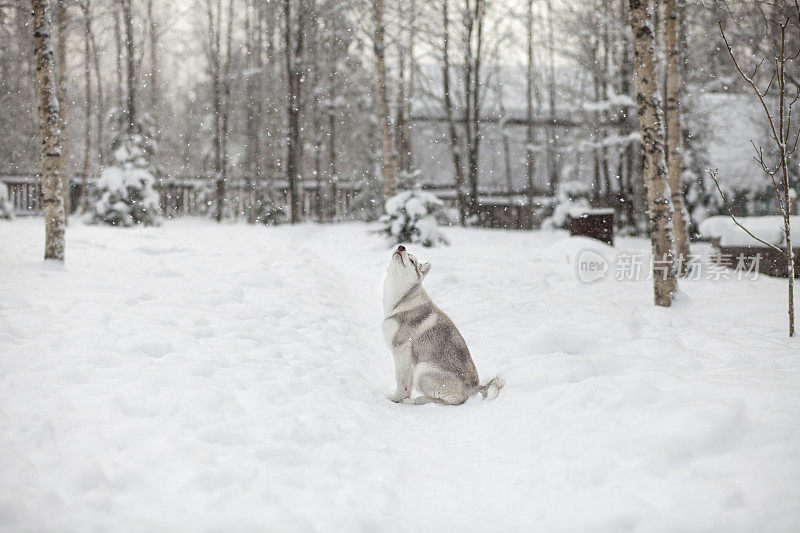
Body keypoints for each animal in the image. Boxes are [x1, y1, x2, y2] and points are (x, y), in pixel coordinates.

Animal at [382, 247, 506, 406]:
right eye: (406, 252)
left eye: (411, 260)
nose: (401, 247)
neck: (401, 300)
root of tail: (474, 387)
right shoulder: (409, 358)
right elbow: (407, 386)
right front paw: (404, 397)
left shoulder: (401, 349)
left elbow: (400, 382)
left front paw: (395, 399)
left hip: (423, 369)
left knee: (455, 400)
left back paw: (419, 400)